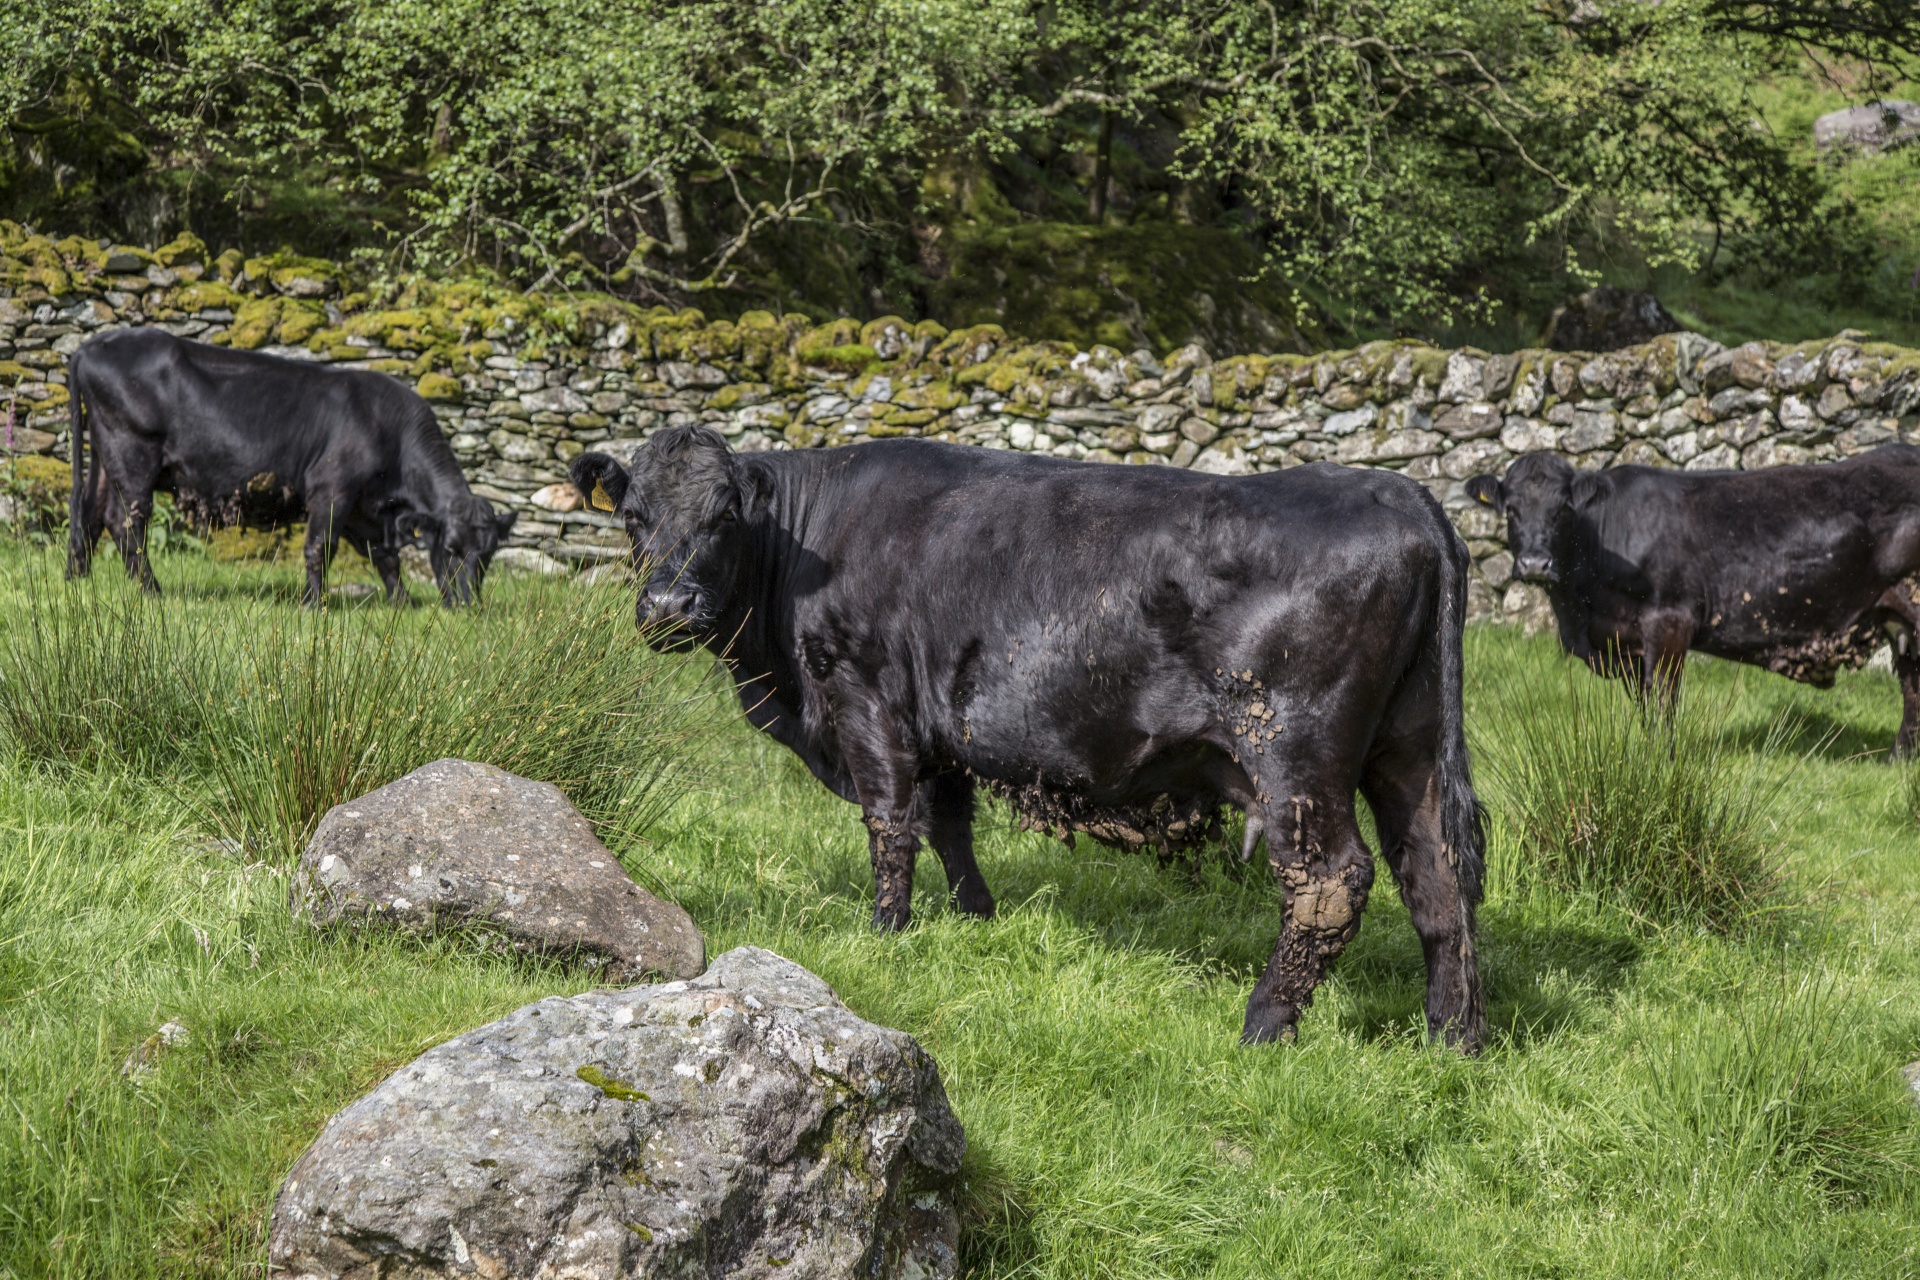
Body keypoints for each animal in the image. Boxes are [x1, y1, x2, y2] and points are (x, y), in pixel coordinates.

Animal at [68, 330, 518, 610]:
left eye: (488, 555)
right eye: (451, 548)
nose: (468, 605)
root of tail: (90, 345)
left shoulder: (366, 509)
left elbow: (385, 558)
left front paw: (401, 603)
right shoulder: (332, 487)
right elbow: (320, 546)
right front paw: (313, 605)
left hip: (105, 457)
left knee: (90, 514)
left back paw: (79, 581)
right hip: (133, 453)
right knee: (126, 522)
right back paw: (151, 591)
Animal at [568, 427, 1482, 1051]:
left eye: (724, 516)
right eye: (633, 519)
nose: (668, 608)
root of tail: (1400, 494)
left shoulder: (867, 699)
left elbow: (890, 820)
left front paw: (887, 931)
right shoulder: (938, 724)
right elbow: (946, 820)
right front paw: (974, 916)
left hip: (1295, 755)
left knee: (1332, 882)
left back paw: (1263, 1023)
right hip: (1407, 753)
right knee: (1436, 877)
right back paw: (1451, 1037)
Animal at [1459, 450, 1920, 752]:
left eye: (1562, 510)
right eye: (1511, 510)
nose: (1535, 563)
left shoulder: (1669, 622)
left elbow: (1663, 699)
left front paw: (1660, 760)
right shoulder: (1628, 644)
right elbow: (1644, 704)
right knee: (1911, 682)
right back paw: (1900, 757)